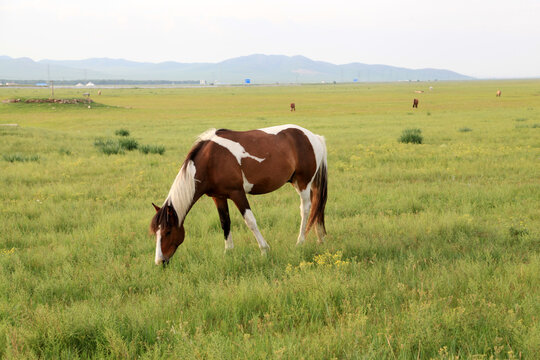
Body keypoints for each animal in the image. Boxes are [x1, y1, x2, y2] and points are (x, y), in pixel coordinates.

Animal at [151, 125, 330, 266]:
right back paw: (320, 239)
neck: (211, 160)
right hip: (306, 183)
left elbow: (250, 221)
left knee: (305, 209)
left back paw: (300, 241)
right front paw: (228, 252)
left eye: (167, 232)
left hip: (303, 183)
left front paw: (264, 250)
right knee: (317, 206)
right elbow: (225, 222)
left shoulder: (237, 193)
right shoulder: (219, 197)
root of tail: (314, 137)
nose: (160, 261)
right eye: (155, 233)